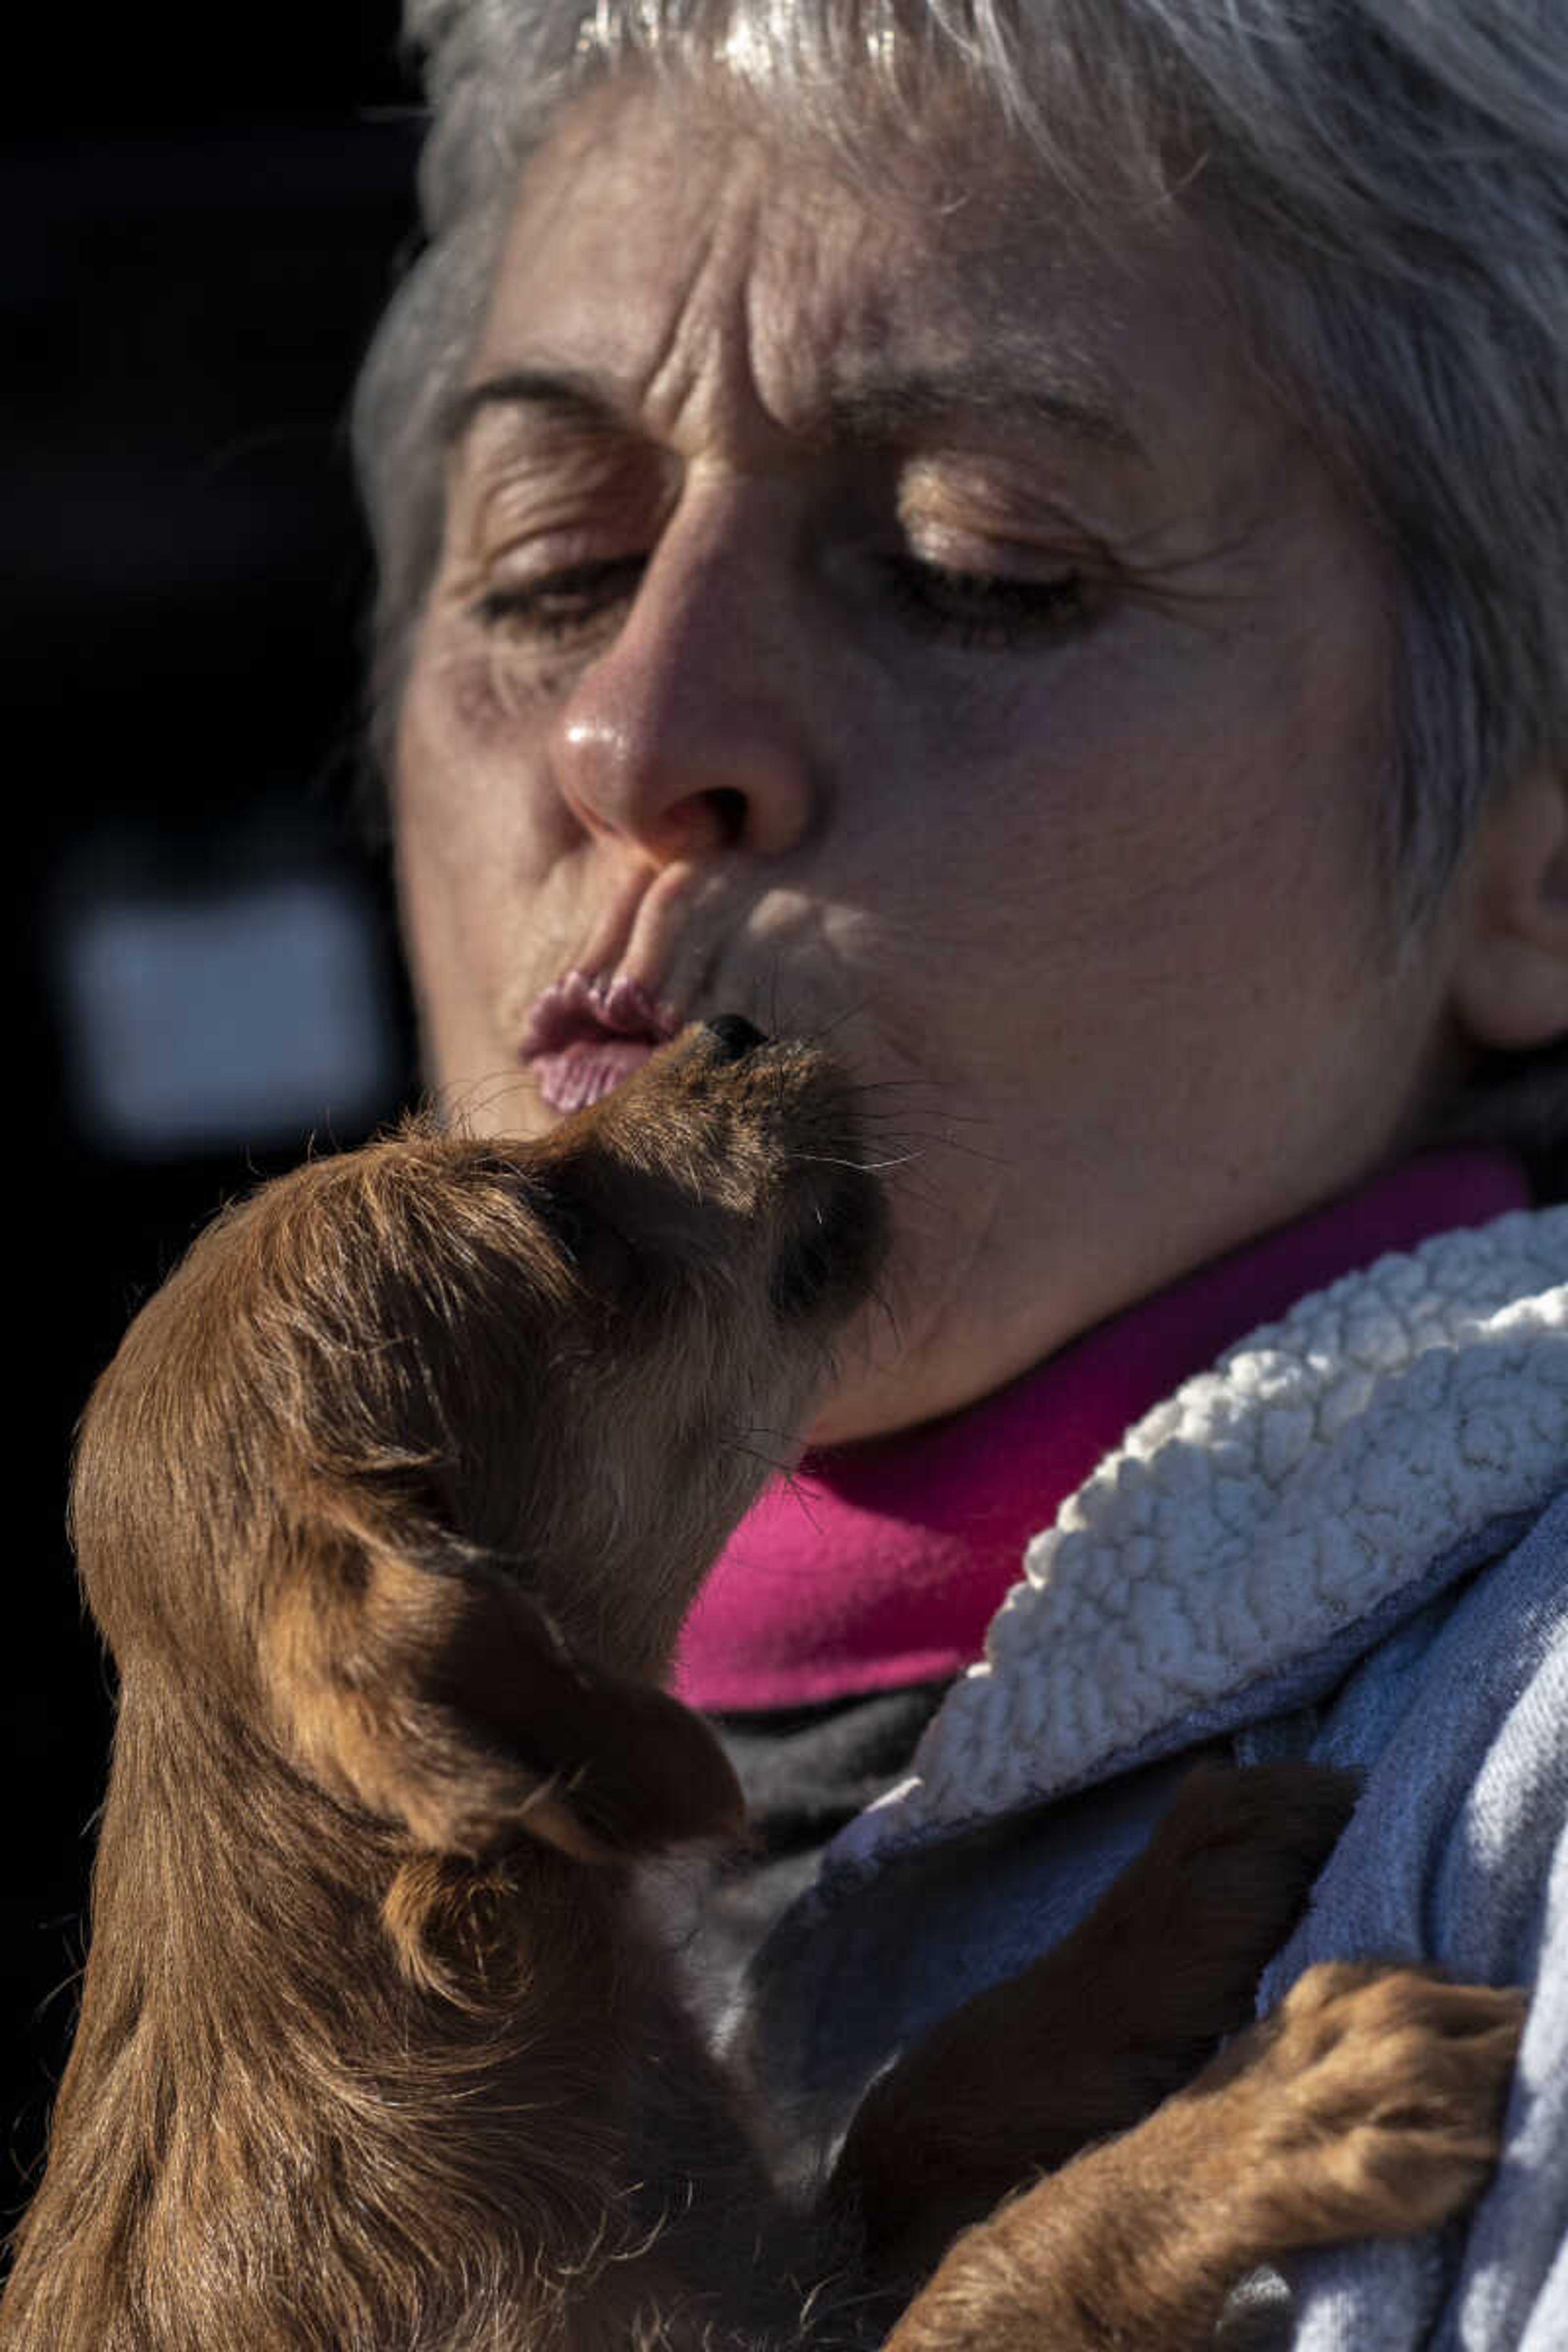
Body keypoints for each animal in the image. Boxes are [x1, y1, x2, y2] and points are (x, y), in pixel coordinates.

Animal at [0, 1025, 1523, 2352]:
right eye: (566, 1233)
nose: (724, 1024)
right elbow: (996, 2263)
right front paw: (1267, 2116)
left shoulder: (800, 2262)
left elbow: (917, 2106)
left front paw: (1169, 1909)